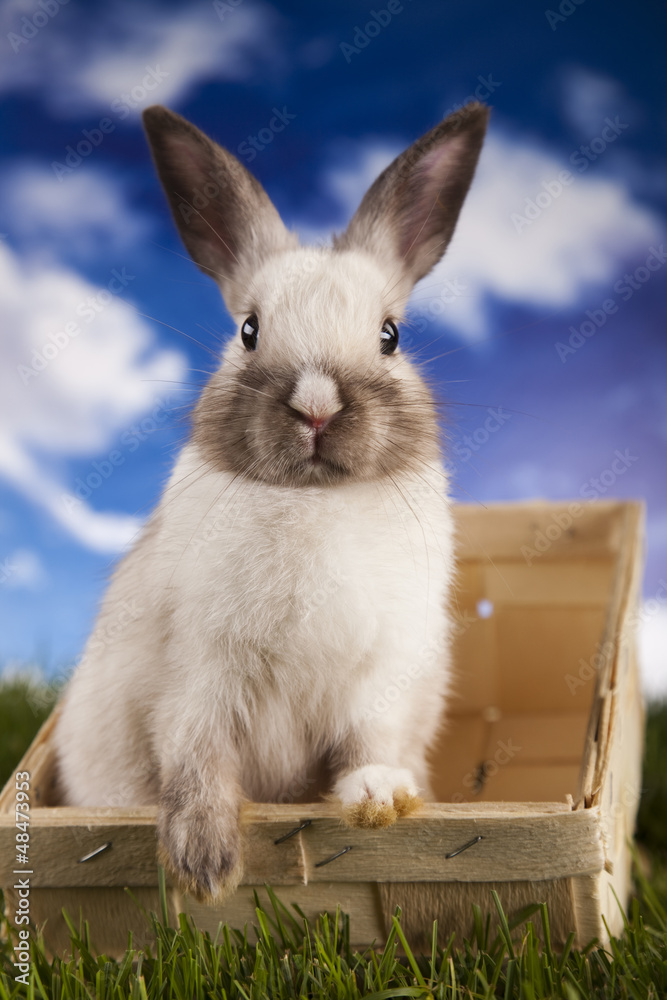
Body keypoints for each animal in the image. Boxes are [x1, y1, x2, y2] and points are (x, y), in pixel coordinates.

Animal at [53, 101, 489, 903]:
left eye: (391, 335)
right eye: (248, 330)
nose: (316, 407)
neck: (312, 499)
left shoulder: (379, 683)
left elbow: (365, 745)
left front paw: (377, 800)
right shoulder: (198, 677)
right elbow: (196, 760)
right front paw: (204, 869)